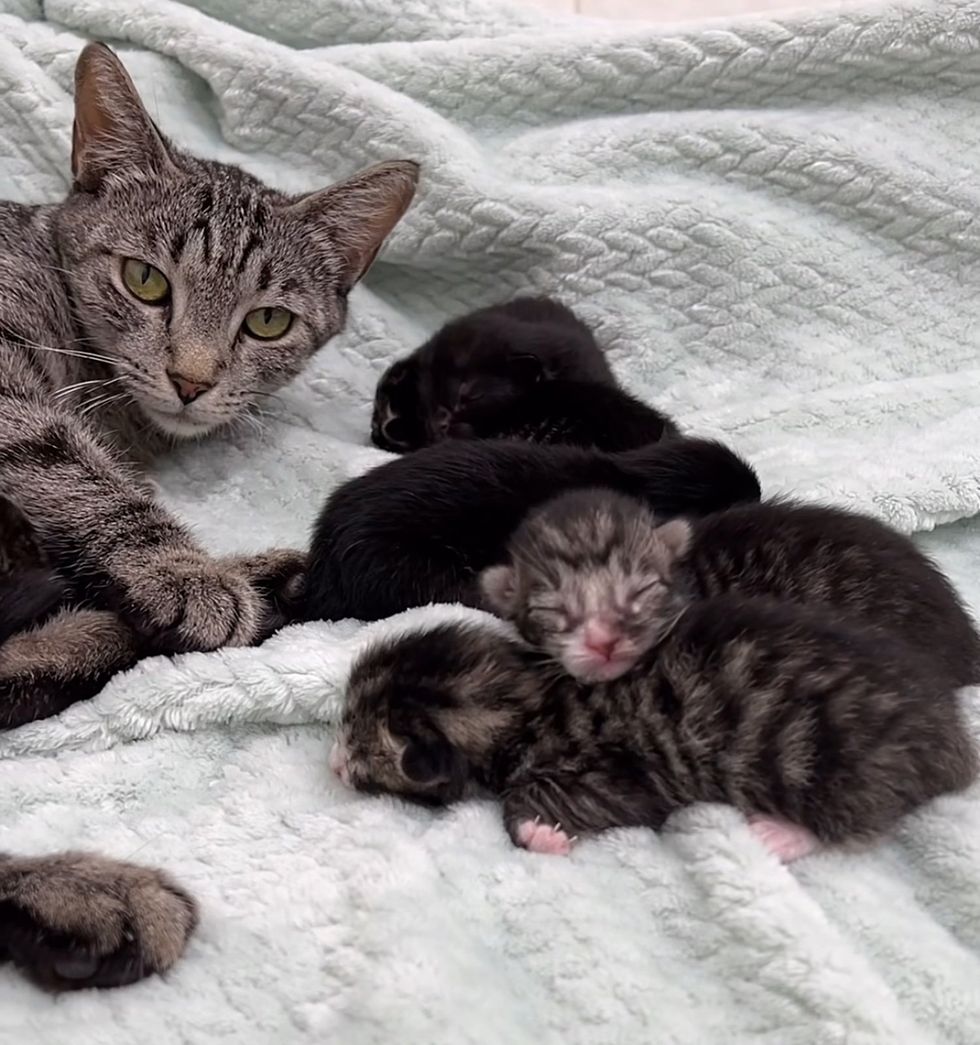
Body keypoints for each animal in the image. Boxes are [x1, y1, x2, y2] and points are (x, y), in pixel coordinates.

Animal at [0, 40, 415, 986]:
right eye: (145, 280)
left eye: (266, 323)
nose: (191, 379)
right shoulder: (11, 396)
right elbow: (77, 468)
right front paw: (186, 572)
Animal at [332, 610, 973, 861]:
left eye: (358, 749)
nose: (332, 763)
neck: (524, 699)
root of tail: (953, 739)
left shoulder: (620, 775)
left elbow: (538, 800)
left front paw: (541, 834)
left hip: (825, 765)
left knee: (858, 819)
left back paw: (781, 833)